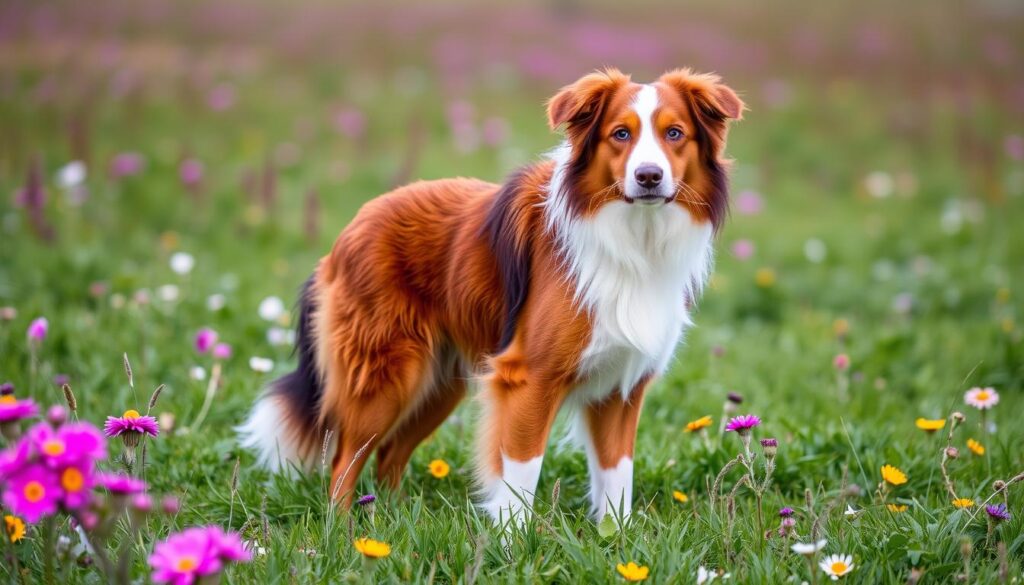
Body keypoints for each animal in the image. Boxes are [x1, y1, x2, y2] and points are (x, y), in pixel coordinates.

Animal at [235, 67, 741, 522]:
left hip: (438, 384)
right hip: (387, 376)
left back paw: (387, 521)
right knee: (345, 461)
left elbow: (618, 476)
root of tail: (348, 232)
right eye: (621, 134)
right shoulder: (529, 379)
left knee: (389, 454)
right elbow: (521, 475)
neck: (635, 237)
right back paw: (343, 533)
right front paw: (512, 545)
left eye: (675, 133)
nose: (649, 176)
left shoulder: (621, 387)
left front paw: (613, 542)